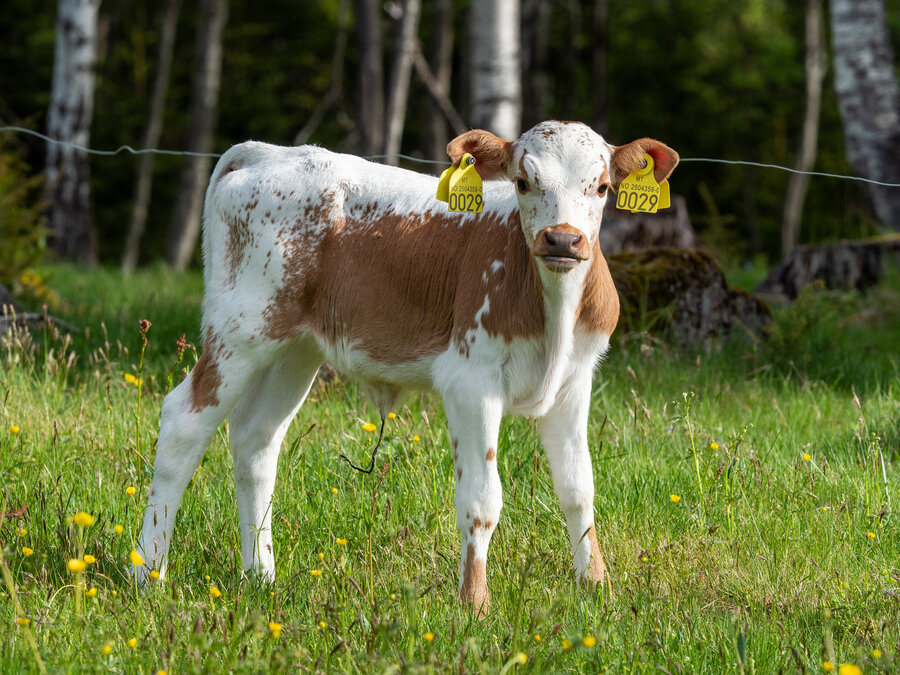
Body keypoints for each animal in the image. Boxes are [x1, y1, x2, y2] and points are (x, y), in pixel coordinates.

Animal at [137, 120, 680, 612]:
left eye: (602, 187)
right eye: (524, 182)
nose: (563, 240)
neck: (554, 312)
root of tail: (268, 152)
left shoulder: (574, 382)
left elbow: (579, 490)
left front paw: (597, 590)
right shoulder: (470, 380)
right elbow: (482, 500)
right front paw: (474, 605)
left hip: (295, 347)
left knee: (256, 439)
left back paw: (261, 576)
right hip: (240, 329)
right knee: (184, 424)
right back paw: (148, 575)